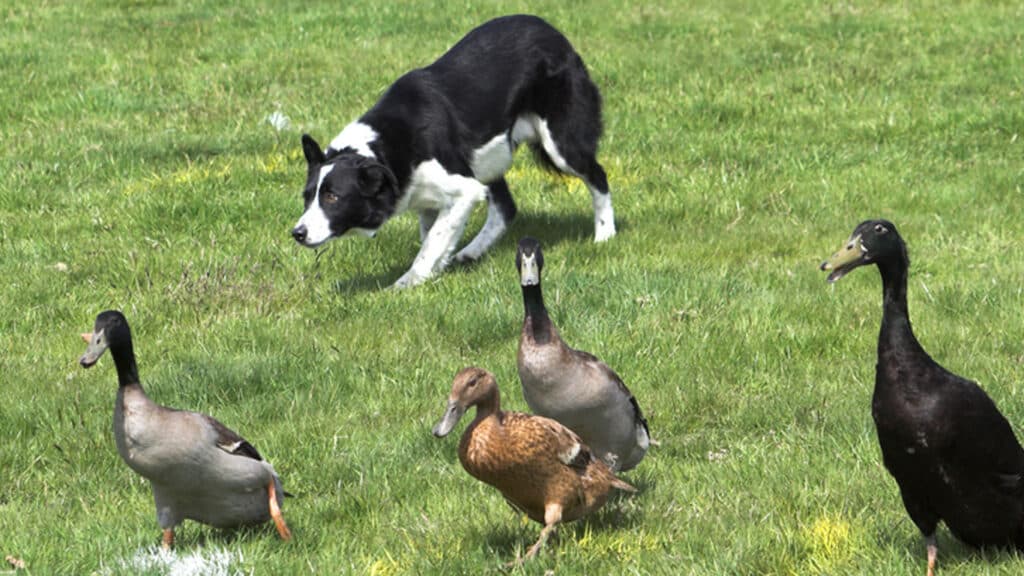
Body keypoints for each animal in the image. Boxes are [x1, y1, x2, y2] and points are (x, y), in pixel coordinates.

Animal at [292, 14, 618, 286]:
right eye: (307, 197)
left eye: (333, 197)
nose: (297, 233)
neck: (385, 148)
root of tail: (555, 34)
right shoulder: (431, 196)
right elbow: (434, 236)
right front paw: (435, 272)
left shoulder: (463, 188)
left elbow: (431, 242)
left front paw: (406, 284)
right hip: (488, 161)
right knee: (506, 207)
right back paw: (471, 252)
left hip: (559, 143)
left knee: (597, 175)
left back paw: (605, 235)